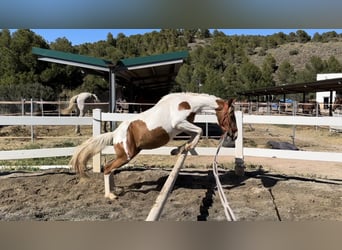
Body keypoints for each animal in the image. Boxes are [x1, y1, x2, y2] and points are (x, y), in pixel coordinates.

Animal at [69, 92, 238, 199]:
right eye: (231, 115)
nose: (235, 134)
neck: (187, 103)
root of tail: (115, 133)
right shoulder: (179, 123)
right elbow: (200, 130)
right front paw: (185, 148)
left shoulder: (183, 127)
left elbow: (195, 134)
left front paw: (179, 149)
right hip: (127, 155)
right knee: (108, 168)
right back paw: (110, 195)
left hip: (126, 155)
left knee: (110, 168)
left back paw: (114, 190)